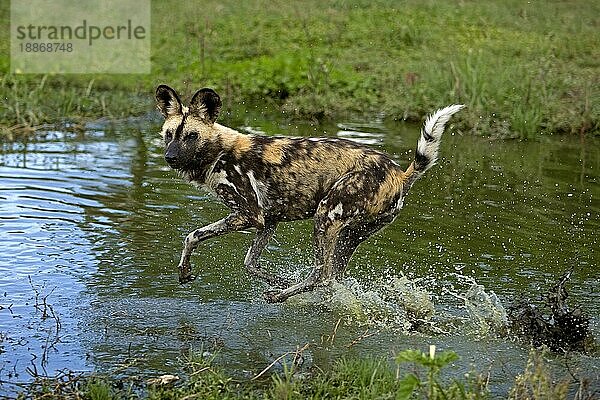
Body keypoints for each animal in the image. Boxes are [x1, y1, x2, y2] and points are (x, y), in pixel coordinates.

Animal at [156, 85, 464, 304]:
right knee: (333, 276)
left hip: (324, 218)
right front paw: (278, 280)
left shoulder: (248, 216)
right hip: (350, 235)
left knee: (321, 273)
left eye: (192, 136)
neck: (219, 152)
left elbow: (194, 234)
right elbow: (247, 262)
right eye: (169, 134)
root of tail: (399, 173)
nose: (170, 158)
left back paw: (280, 297)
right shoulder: (268, 221)